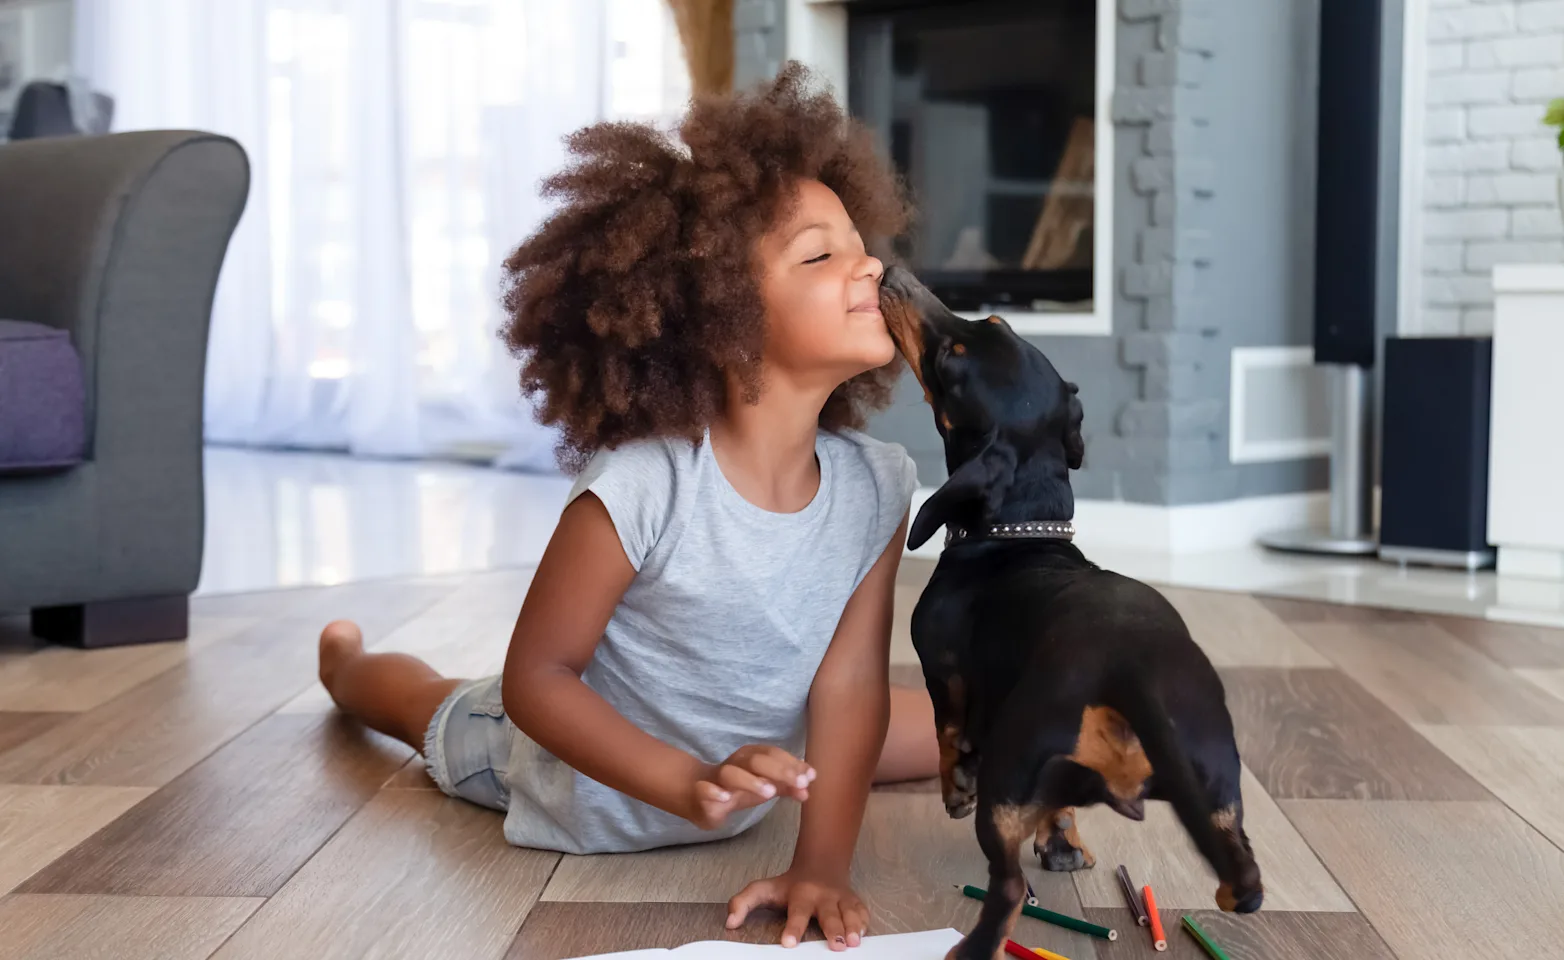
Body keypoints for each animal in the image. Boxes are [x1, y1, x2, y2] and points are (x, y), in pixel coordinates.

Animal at [882, 268, 1257, 960]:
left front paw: (954, 786)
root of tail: (1129, 677)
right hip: (1218, 783)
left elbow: (948, 735)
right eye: (995, 322)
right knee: (1243, 878)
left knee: (1005, 889)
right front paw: (1064, 845)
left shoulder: (942, 672)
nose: (894, 275)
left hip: (1006, 783)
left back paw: (971, 945)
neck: (1022, 531)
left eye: (952, 359)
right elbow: (1059, 811)